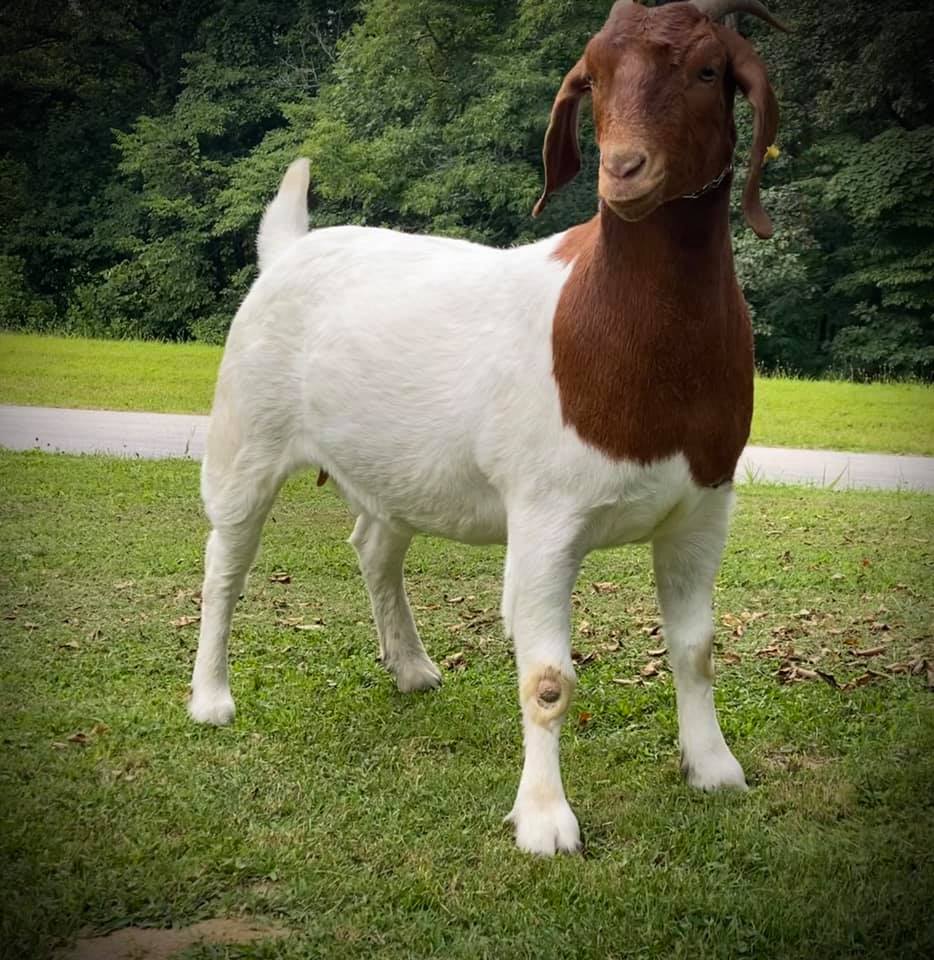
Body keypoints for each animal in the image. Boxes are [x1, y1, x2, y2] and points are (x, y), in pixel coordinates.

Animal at [189, 0, 785, 855]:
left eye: (709, 70)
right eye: (594, 75)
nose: (625, 171)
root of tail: (289, 250)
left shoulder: (704, 508)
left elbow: (697, 648)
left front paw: (714, 768)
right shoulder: (545, 518)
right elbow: (547, 679)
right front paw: (544, 819)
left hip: (398, 467)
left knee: (376, 546)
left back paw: (410, 667)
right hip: (247, 435)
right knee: (225, 561)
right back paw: (210, 698)